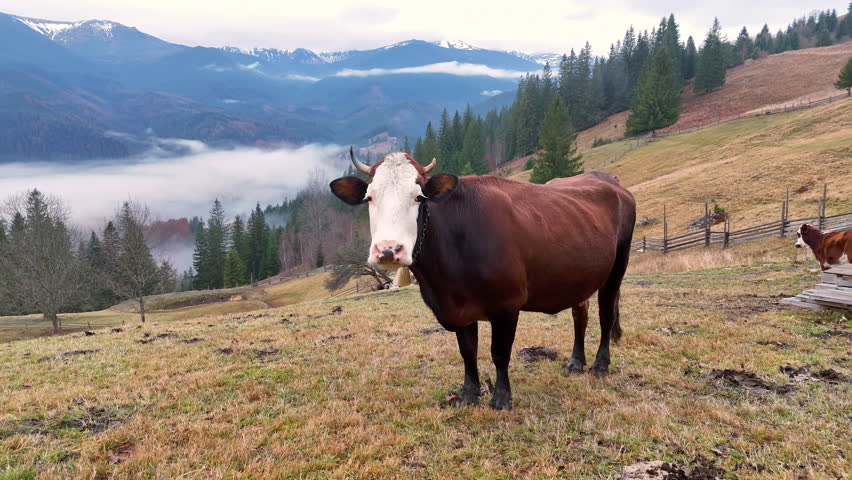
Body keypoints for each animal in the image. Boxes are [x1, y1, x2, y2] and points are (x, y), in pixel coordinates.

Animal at [329, 149, 636, 410]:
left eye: (418, 197)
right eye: (370, 198)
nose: (388, 250)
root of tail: (608, 179)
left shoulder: (507, 304)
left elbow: (499, 352)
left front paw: (501, 398)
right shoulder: (458, 309)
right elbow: (467, 352)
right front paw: (469, 394)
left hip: (616, 268)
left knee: (606, 315)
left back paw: (600, 365)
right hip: (579, 276)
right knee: (580, 315)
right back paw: (575, 362)